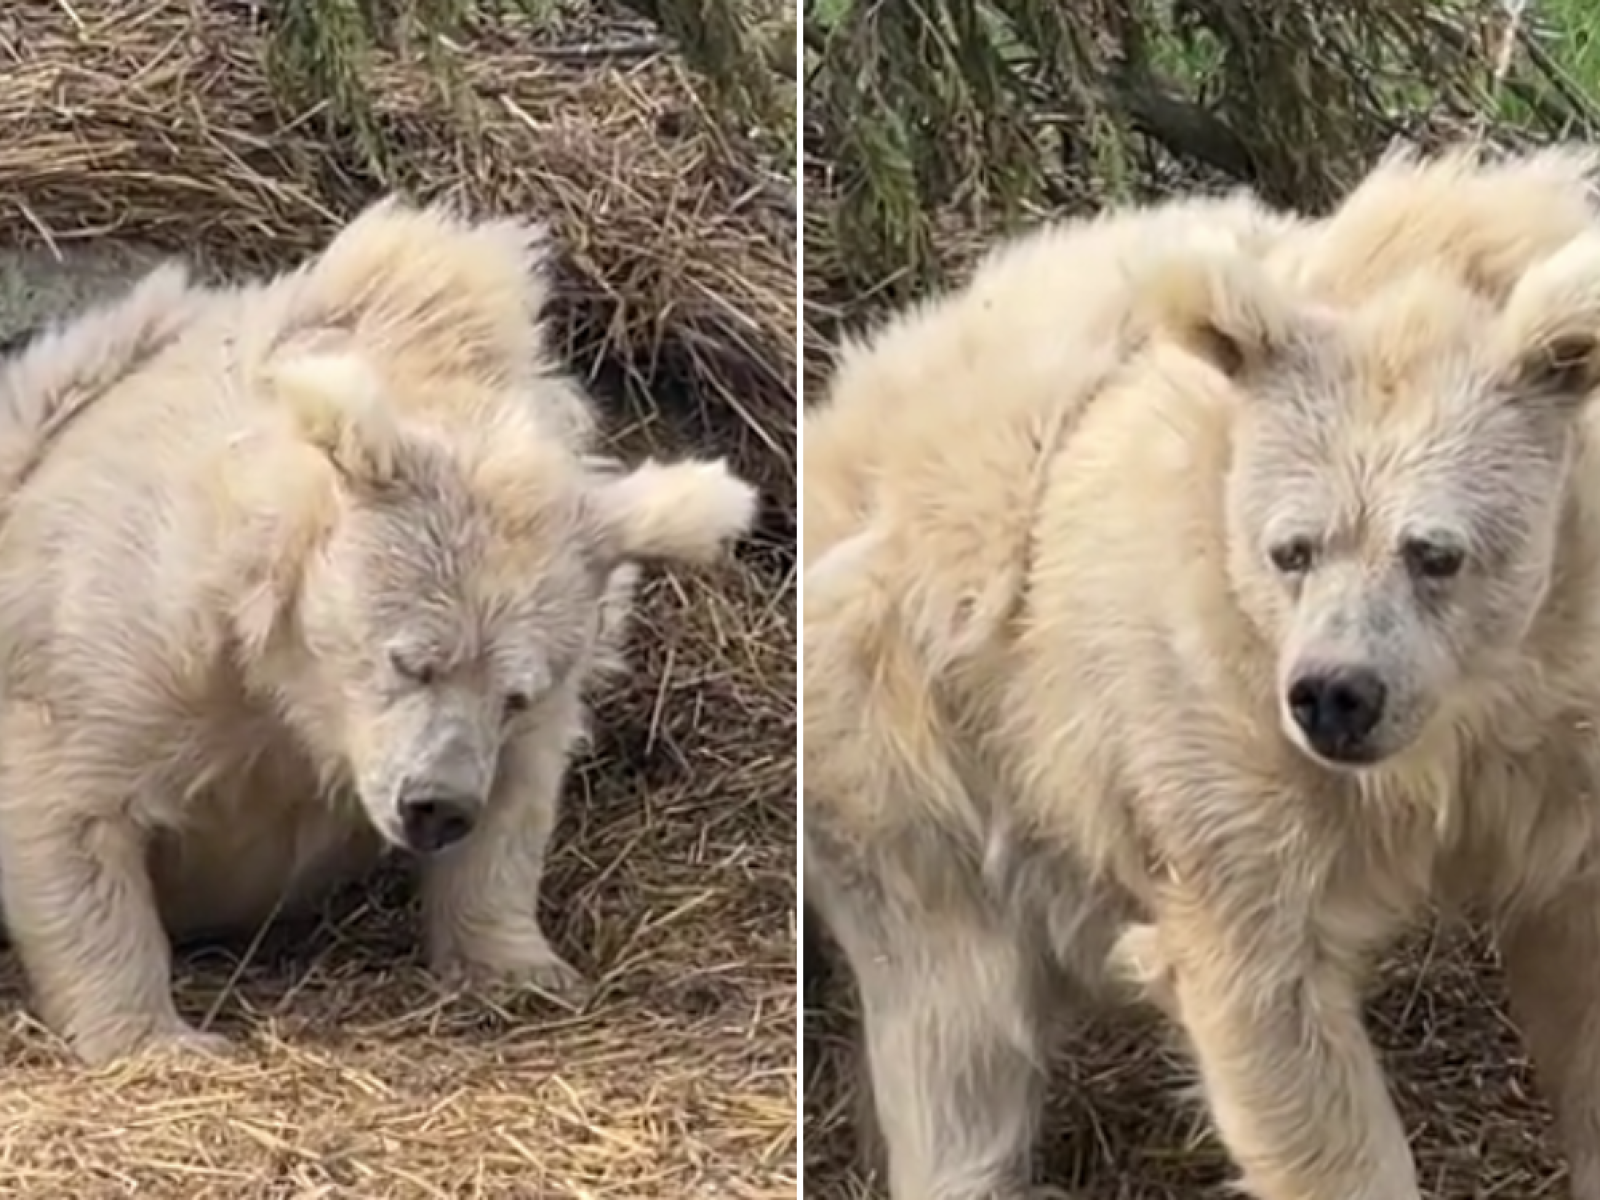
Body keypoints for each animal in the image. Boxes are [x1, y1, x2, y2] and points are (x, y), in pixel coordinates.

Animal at [0, 200, 755, 1068]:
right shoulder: (146, 637)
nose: (435, 807)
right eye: (410, 660)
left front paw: (524, 971)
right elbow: (74, 803)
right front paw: (159, 1039)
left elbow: (513, 811)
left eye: (515, 695)